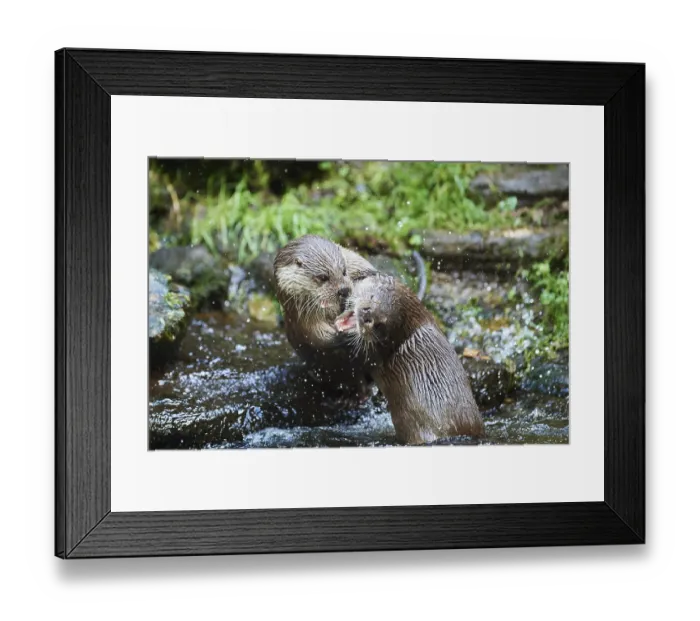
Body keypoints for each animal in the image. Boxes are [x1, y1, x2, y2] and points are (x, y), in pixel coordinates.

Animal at [273, 235, 377, 395]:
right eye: (322, 277)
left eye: (344, 271)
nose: (344, 290)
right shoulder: (301, 318)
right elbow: (319, 337)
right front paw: (345, 335)